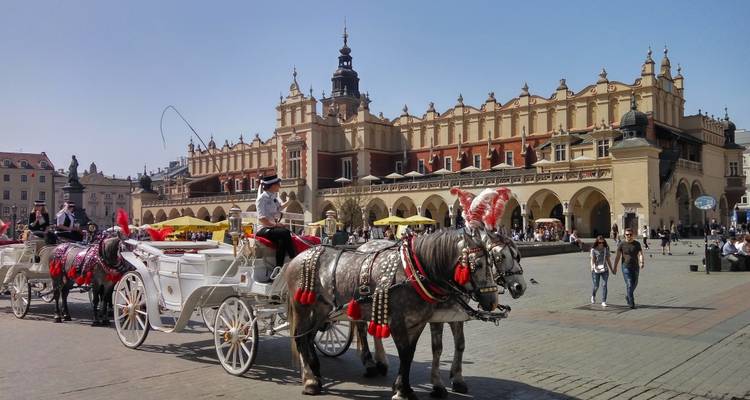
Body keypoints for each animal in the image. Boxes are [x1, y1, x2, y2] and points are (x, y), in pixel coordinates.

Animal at [286, 228, 500, 399]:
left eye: (492, 263)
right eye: (479, 265)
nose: (493, 302)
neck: (413, 271)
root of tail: (300, 256)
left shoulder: (418, 322)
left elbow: (411, 354)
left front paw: (404, 388)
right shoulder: (397, 323)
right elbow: (404, 354)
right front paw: (402, 391)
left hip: (322, 310)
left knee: (309, 337)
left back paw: (316, 372)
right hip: (302, 307)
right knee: (300, 338)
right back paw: (310, 381)